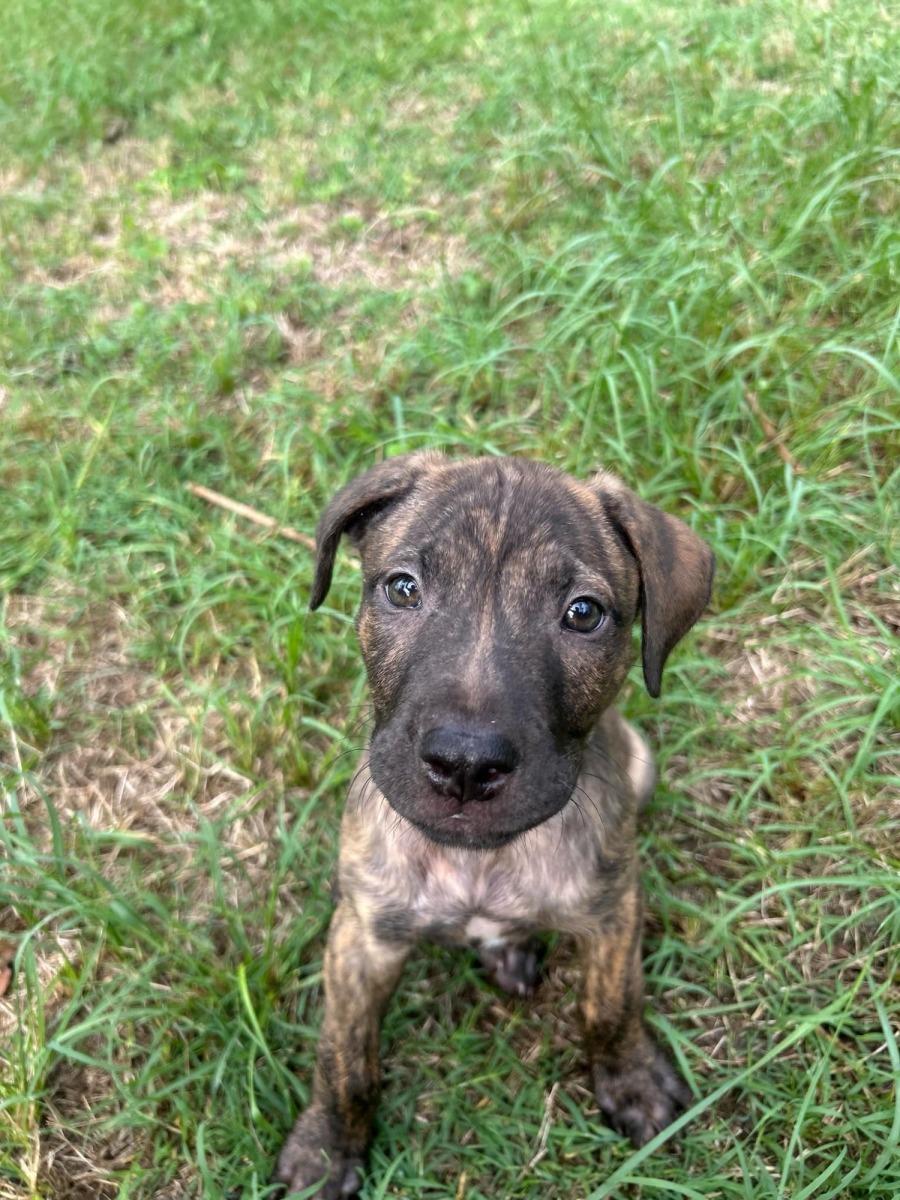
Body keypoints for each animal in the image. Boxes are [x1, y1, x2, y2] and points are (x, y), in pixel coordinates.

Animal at [274, 452, 714, 1198]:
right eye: (402, 589)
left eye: (583, 614)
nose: (465, 764)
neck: (479, 861)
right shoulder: (362, 940)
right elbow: (345, 1056)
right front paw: (328, 1145)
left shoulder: (613, 909)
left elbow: (610, 1005)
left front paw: (630, 1080)